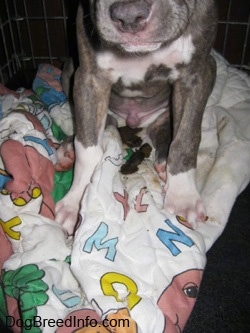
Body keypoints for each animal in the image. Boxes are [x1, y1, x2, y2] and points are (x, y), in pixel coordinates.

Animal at [55, 0, 218, 233]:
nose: (129, 16)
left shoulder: (195, 76)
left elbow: (186, 139)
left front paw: (183, 195)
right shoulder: (90, 79)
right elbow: (88, 148)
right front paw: (76, 202)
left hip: (211, 66)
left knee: (162, 127)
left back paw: (163, 161)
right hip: (70, 70)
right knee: (103, 126)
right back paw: (68, 149)